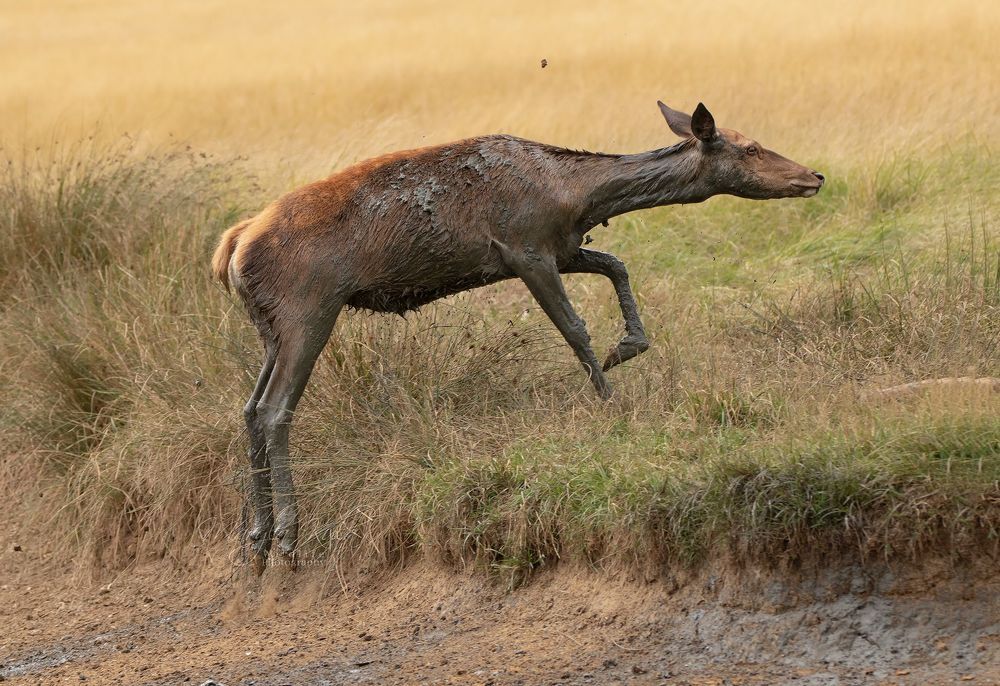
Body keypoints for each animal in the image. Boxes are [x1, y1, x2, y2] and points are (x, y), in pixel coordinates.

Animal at [212, 101, 825, 573]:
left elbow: (617, 265)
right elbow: (575, 329)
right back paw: (288, 538)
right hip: (309, 309)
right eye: (749, 147)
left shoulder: (563, 246)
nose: (815, 176)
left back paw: (254, 540)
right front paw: (611, 402)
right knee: (274, 409)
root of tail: (231, 249)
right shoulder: (525, 248)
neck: (578, 197)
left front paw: (628, 346)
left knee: (247, 409)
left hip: (271, 326)